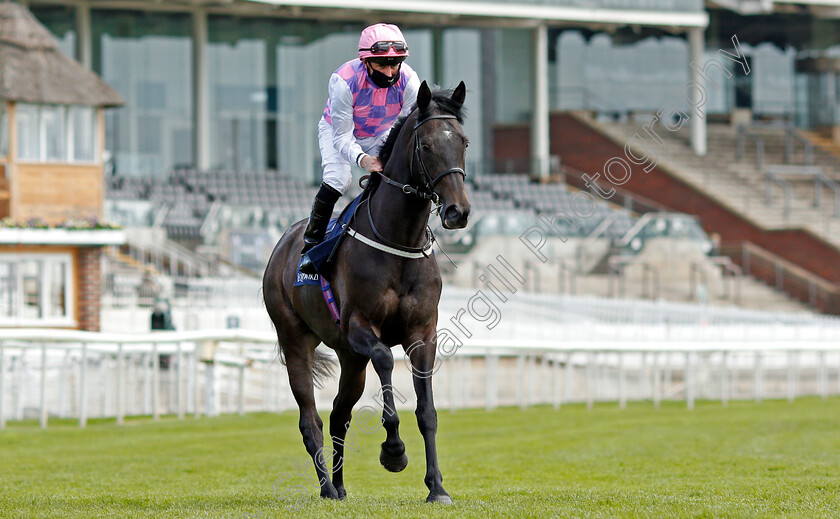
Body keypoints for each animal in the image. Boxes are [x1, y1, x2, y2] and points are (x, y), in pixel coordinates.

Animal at [262, 80, 472, 504]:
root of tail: (284, 242)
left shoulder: (422, 333)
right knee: (310, 420)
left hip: (349, 358)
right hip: (296, 340)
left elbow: (427, 412)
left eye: (463, 142)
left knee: (338, 415)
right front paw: (393, 451)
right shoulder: (361, 327)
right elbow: (387, 362)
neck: (398, 240)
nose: (458, 212)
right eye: (426, 145)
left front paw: (437, 487)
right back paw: (327, 487)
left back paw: (340, 486)